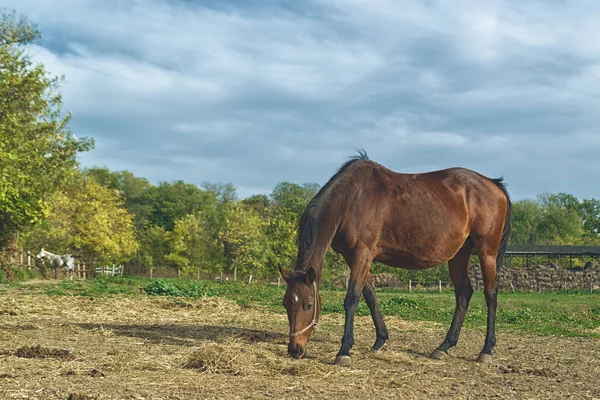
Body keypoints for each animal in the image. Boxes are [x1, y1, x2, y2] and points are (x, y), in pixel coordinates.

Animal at [280, 149, 510, 366]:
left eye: (309, 304)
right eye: (286, 303)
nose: (295, 349)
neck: (351, 199)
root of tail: (493, 184)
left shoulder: (362, 253)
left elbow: (352, 298)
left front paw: (344, 350)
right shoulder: (353, 256)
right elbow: (370, 295)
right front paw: (380, 340)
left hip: (487, 251)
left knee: (490, 295)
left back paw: (486, 350)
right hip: (459, 255)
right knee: (464, 293)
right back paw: (443, 346)